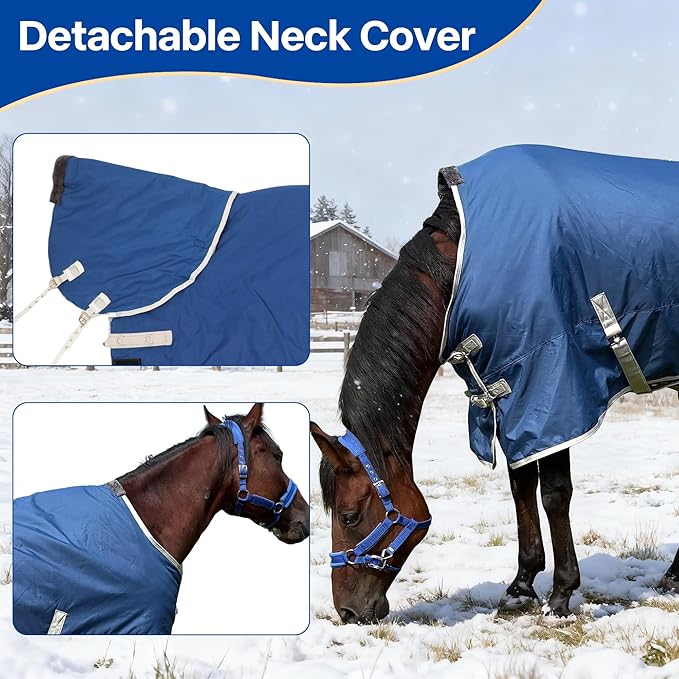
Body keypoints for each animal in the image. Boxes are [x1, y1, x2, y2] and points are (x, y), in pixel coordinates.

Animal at [312, 145, 679, 624]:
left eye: (350, 516)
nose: (349, 611)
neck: (459, 265)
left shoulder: (554, 389)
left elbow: (554, 493)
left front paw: (561, 593)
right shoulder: (509, 392)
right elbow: (521, 484)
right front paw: (521, 587)